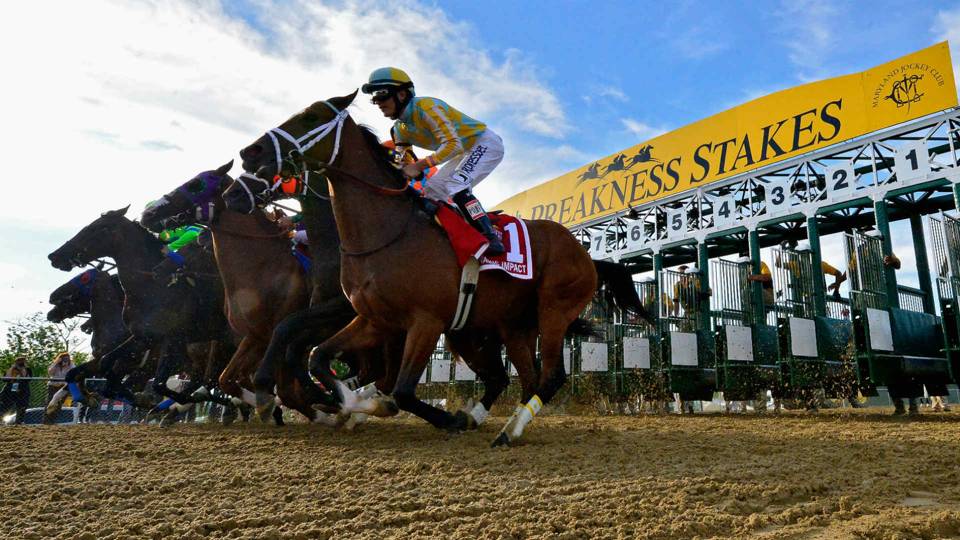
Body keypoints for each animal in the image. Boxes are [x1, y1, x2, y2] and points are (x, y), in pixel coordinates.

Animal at [48, 208, 244, 422]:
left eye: (94, 229)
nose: (54, 256)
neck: (152, 288)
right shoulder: (142, 339)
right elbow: (91, 372)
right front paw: (72, 401)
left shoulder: (167, 342)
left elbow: (151, 385)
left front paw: (146, 402)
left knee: (214, 380)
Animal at [225, 93, 652, 446]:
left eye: (311, 116)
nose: (250, 151)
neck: (388, 231)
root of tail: (587, 254)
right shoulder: (375, 319)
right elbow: (321, 359)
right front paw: (350, 407)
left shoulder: (425, 322)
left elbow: (401, 390)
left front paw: (421, 415)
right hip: (507, 328)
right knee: (518, 377)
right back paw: (493, 421)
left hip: (553, 311)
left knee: (550, 376)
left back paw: (507, 430)